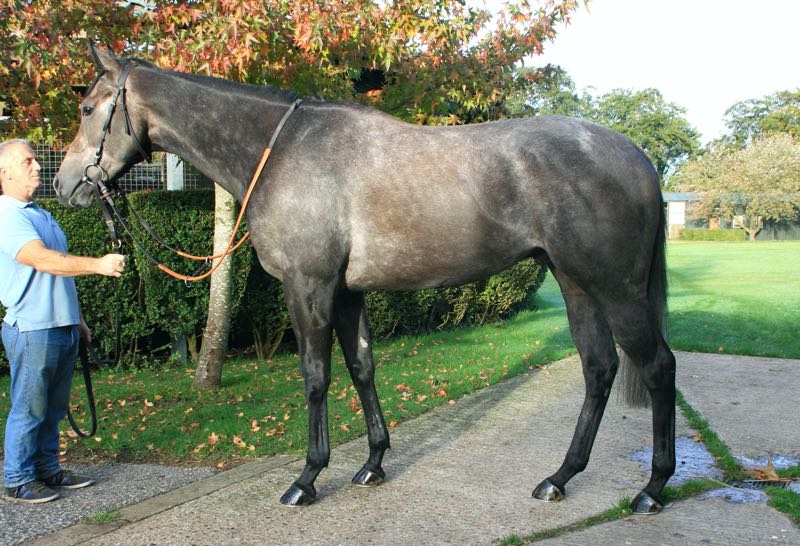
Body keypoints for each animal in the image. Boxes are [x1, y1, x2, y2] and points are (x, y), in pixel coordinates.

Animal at [54, 42, 676, 513]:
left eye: (87, 108)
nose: (64, 186)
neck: (282, 151)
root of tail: (638, 157)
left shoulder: (308, 285)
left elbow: (315, 377)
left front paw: (307, 479)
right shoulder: (347, 292)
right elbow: (362, 368)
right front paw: (373, 463)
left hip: (616, 290)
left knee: (657, 366)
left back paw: (652, 488)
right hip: (575, 284)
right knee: (599, 369)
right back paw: (560, 477)